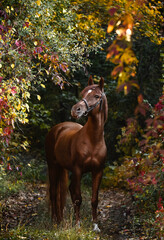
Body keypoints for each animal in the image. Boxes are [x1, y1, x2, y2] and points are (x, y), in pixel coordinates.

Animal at [45, 76, 108, 232]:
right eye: (83, 93)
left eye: (96, 96)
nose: (75, 110)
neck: (93, 141)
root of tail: (57, 128)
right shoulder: (78, 170)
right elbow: (78, 197)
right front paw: (78, 225)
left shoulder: (98, 171)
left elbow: (94, 199)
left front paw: (95, 226)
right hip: (53, 166)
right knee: (54, 193)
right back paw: (55, 221)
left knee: (66, 191)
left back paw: (61, 220)